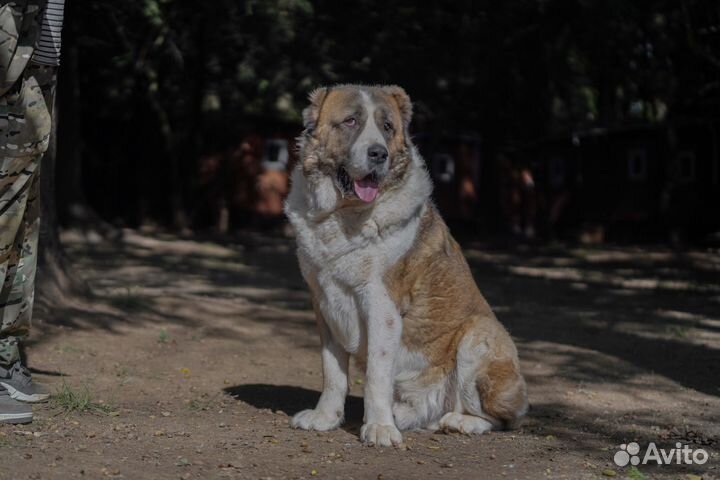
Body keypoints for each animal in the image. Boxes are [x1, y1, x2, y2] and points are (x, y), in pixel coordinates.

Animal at [286, 85, 528, 446]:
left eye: (387, 127)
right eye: (351, 121)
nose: (378, 154)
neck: (344, 214)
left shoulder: (381, 306)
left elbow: (376, 372)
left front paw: (379, 428)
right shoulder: (323, 305)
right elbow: (332, 370)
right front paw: (325, 417)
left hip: (480, 335)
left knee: (502, 419)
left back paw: (461, 422)